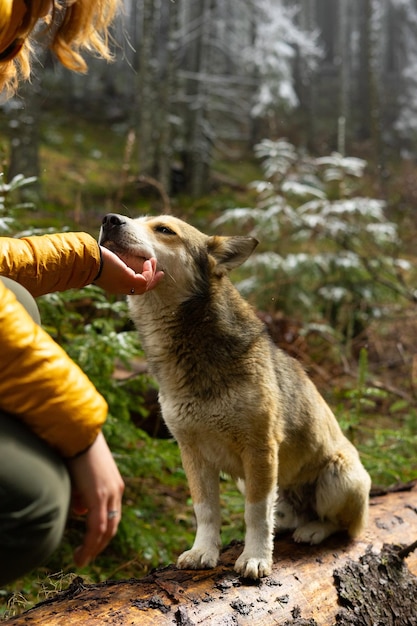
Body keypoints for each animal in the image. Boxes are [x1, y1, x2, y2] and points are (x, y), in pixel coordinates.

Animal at [98, 212, 370, 576]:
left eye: (165, 230)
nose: (109, 219)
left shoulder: (260, 449)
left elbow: (255, 513)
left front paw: (255, 557)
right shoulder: (192, 453)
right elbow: (206, 510)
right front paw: (203, 551)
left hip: (339, 477)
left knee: (343, 526)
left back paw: (313, 530)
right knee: (284, 515)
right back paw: (288, 524)